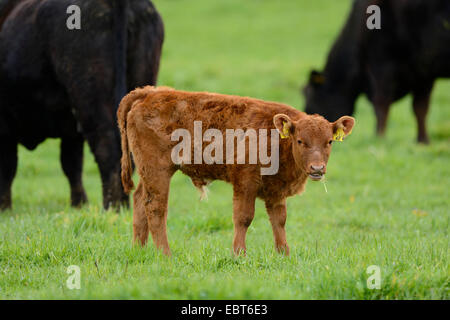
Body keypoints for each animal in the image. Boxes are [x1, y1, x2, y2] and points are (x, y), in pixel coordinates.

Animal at [0, 0, 164, 211]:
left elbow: (8, 167)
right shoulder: (71, 131)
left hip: (91, 103)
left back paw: (113, 207)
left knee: (107, 149)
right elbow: (72, 165)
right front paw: (79, 205)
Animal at [117, 86, 356, 256]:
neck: (276, 138)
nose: (317, 168)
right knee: (155, 207)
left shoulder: (275, 190)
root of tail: (150, 92)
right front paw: (239, 253)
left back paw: (139, 250)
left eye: (329, 142)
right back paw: (165, 253)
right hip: (158, 171)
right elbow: (243, 217)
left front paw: (283, 253)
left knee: (139, 200)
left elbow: (279, 220)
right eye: (300, 141)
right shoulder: (245, 182)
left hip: (148, 173)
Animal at [302, 0, 450, 142]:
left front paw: (379, 137)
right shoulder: (423, 74)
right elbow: (420, 109)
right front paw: (423, 140)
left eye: (310, 101)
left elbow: (381, 104)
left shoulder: (382, 64)